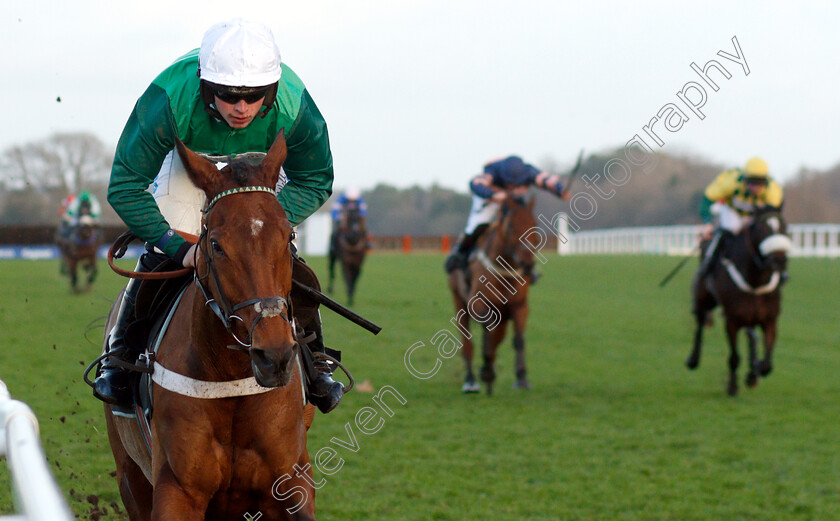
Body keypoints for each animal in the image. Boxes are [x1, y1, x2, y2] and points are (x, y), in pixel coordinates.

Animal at [102, 130, 318, 520]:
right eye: (216, 245)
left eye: (288, 238)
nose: (274, 355)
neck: (230, 377)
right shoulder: (177, 489)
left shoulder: (292, 483)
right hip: (131, 476)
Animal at [446, 195, 540, 394]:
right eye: (511, 225)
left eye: (533, 223)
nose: (527, 264)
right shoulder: (477, 303)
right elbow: (487, 331)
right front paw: (487, 370)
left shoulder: (520, 306)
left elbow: (518, 340)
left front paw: (522, 378)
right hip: (458, 301)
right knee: (467, 343)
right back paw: (471, 380)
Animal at [684, 209, 792, 396]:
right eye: (763, 229)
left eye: (784, 227)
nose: (779, 261)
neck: (756, 282)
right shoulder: (732, 320)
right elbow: (734, 356)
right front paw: (732, 386)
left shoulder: (769, 320)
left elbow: (767, 364)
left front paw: (754, 371)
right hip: (703, 300)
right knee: (699, 325)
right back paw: (693, 359)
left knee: (751, 336)